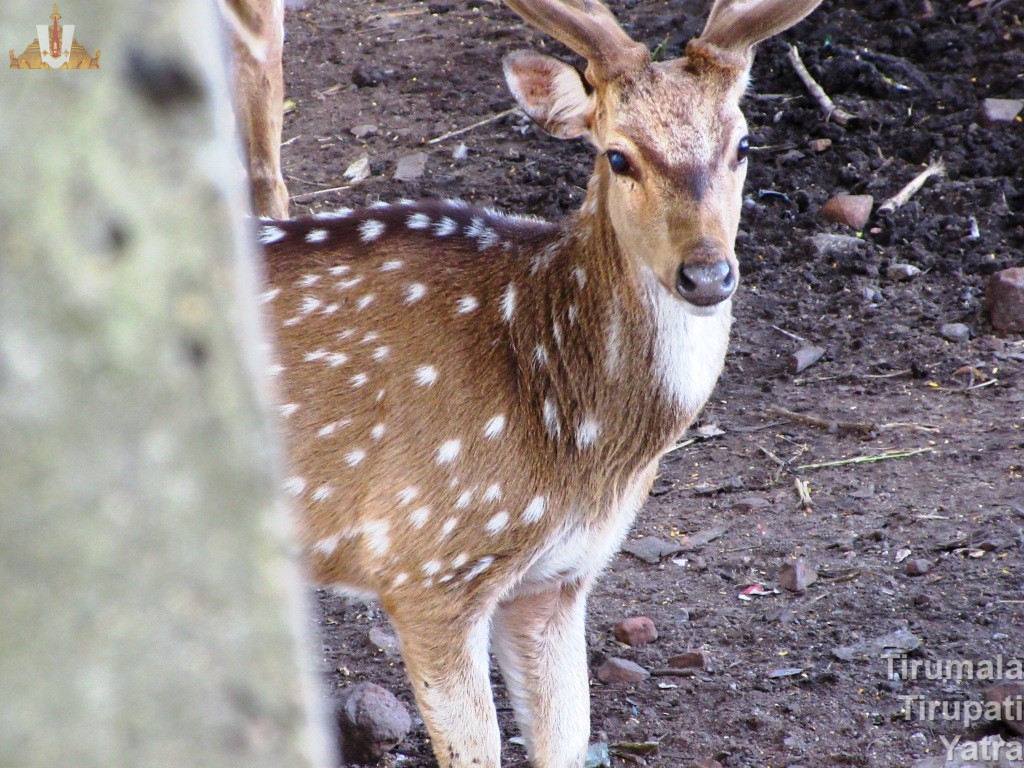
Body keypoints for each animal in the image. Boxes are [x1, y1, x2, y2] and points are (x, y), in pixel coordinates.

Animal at [260, 1, 819, 768]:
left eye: (741, 144)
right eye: (618, 155)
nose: (707, 274)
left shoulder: (559, 580)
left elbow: (567, 739)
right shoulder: (424, 561)